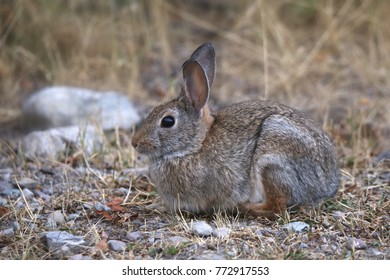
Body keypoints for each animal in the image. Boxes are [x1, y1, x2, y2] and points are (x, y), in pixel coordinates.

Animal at [131, 42, 338, 218]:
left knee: (276, 207)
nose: (135, 143)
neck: (194, 146)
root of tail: (327, 186)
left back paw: (244, 207)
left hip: (273, 157)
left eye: (167, 121)